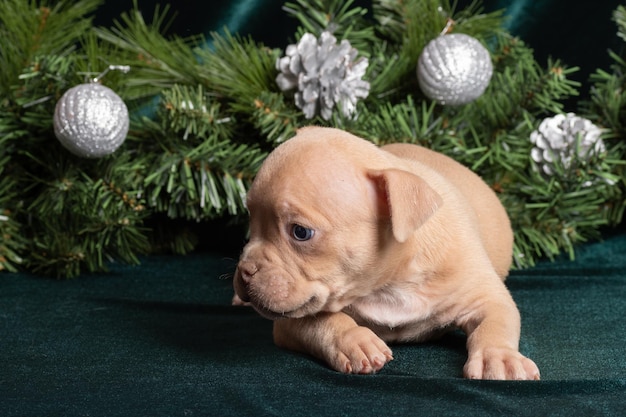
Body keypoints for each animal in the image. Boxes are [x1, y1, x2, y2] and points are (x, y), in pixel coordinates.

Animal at [232, 125, 540, 378]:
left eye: (300, 232)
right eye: (250, 219)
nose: (245, 271)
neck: (388, 283)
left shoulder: (483, 294)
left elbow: (495, 322)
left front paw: (498, 357)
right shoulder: (289, 321)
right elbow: (323, 322)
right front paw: (355, 341)